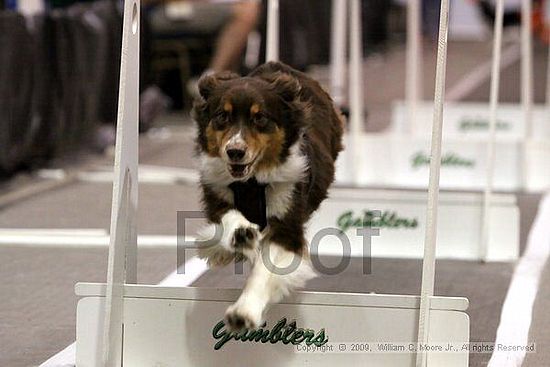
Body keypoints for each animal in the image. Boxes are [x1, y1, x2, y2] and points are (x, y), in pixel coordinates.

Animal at [192, 61, 342, 332]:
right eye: (222, 116)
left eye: (259, 117)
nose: (235, 151)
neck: (251, 182)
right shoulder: (217, 195)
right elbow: (227, 219)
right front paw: (240, 234)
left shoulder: (287, 228)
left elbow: (265, 271)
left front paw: (243, 312)